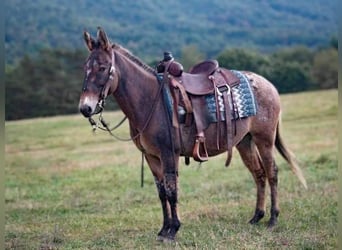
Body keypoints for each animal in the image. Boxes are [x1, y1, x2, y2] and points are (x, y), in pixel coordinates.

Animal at [78, 27, 308, 242]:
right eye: (85, 68)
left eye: (102, 67)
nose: (85, 108)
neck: (151, 100)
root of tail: (267, 83)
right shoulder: (151, 156)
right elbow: (162, 193)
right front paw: (163, 229)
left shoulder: (169, 153)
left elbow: (172, 191)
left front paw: (173, 230)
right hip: (245, 141)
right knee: (259, 174)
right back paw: (257, 217)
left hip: (264, 139)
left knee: (272, 172)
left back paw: (273, 218)